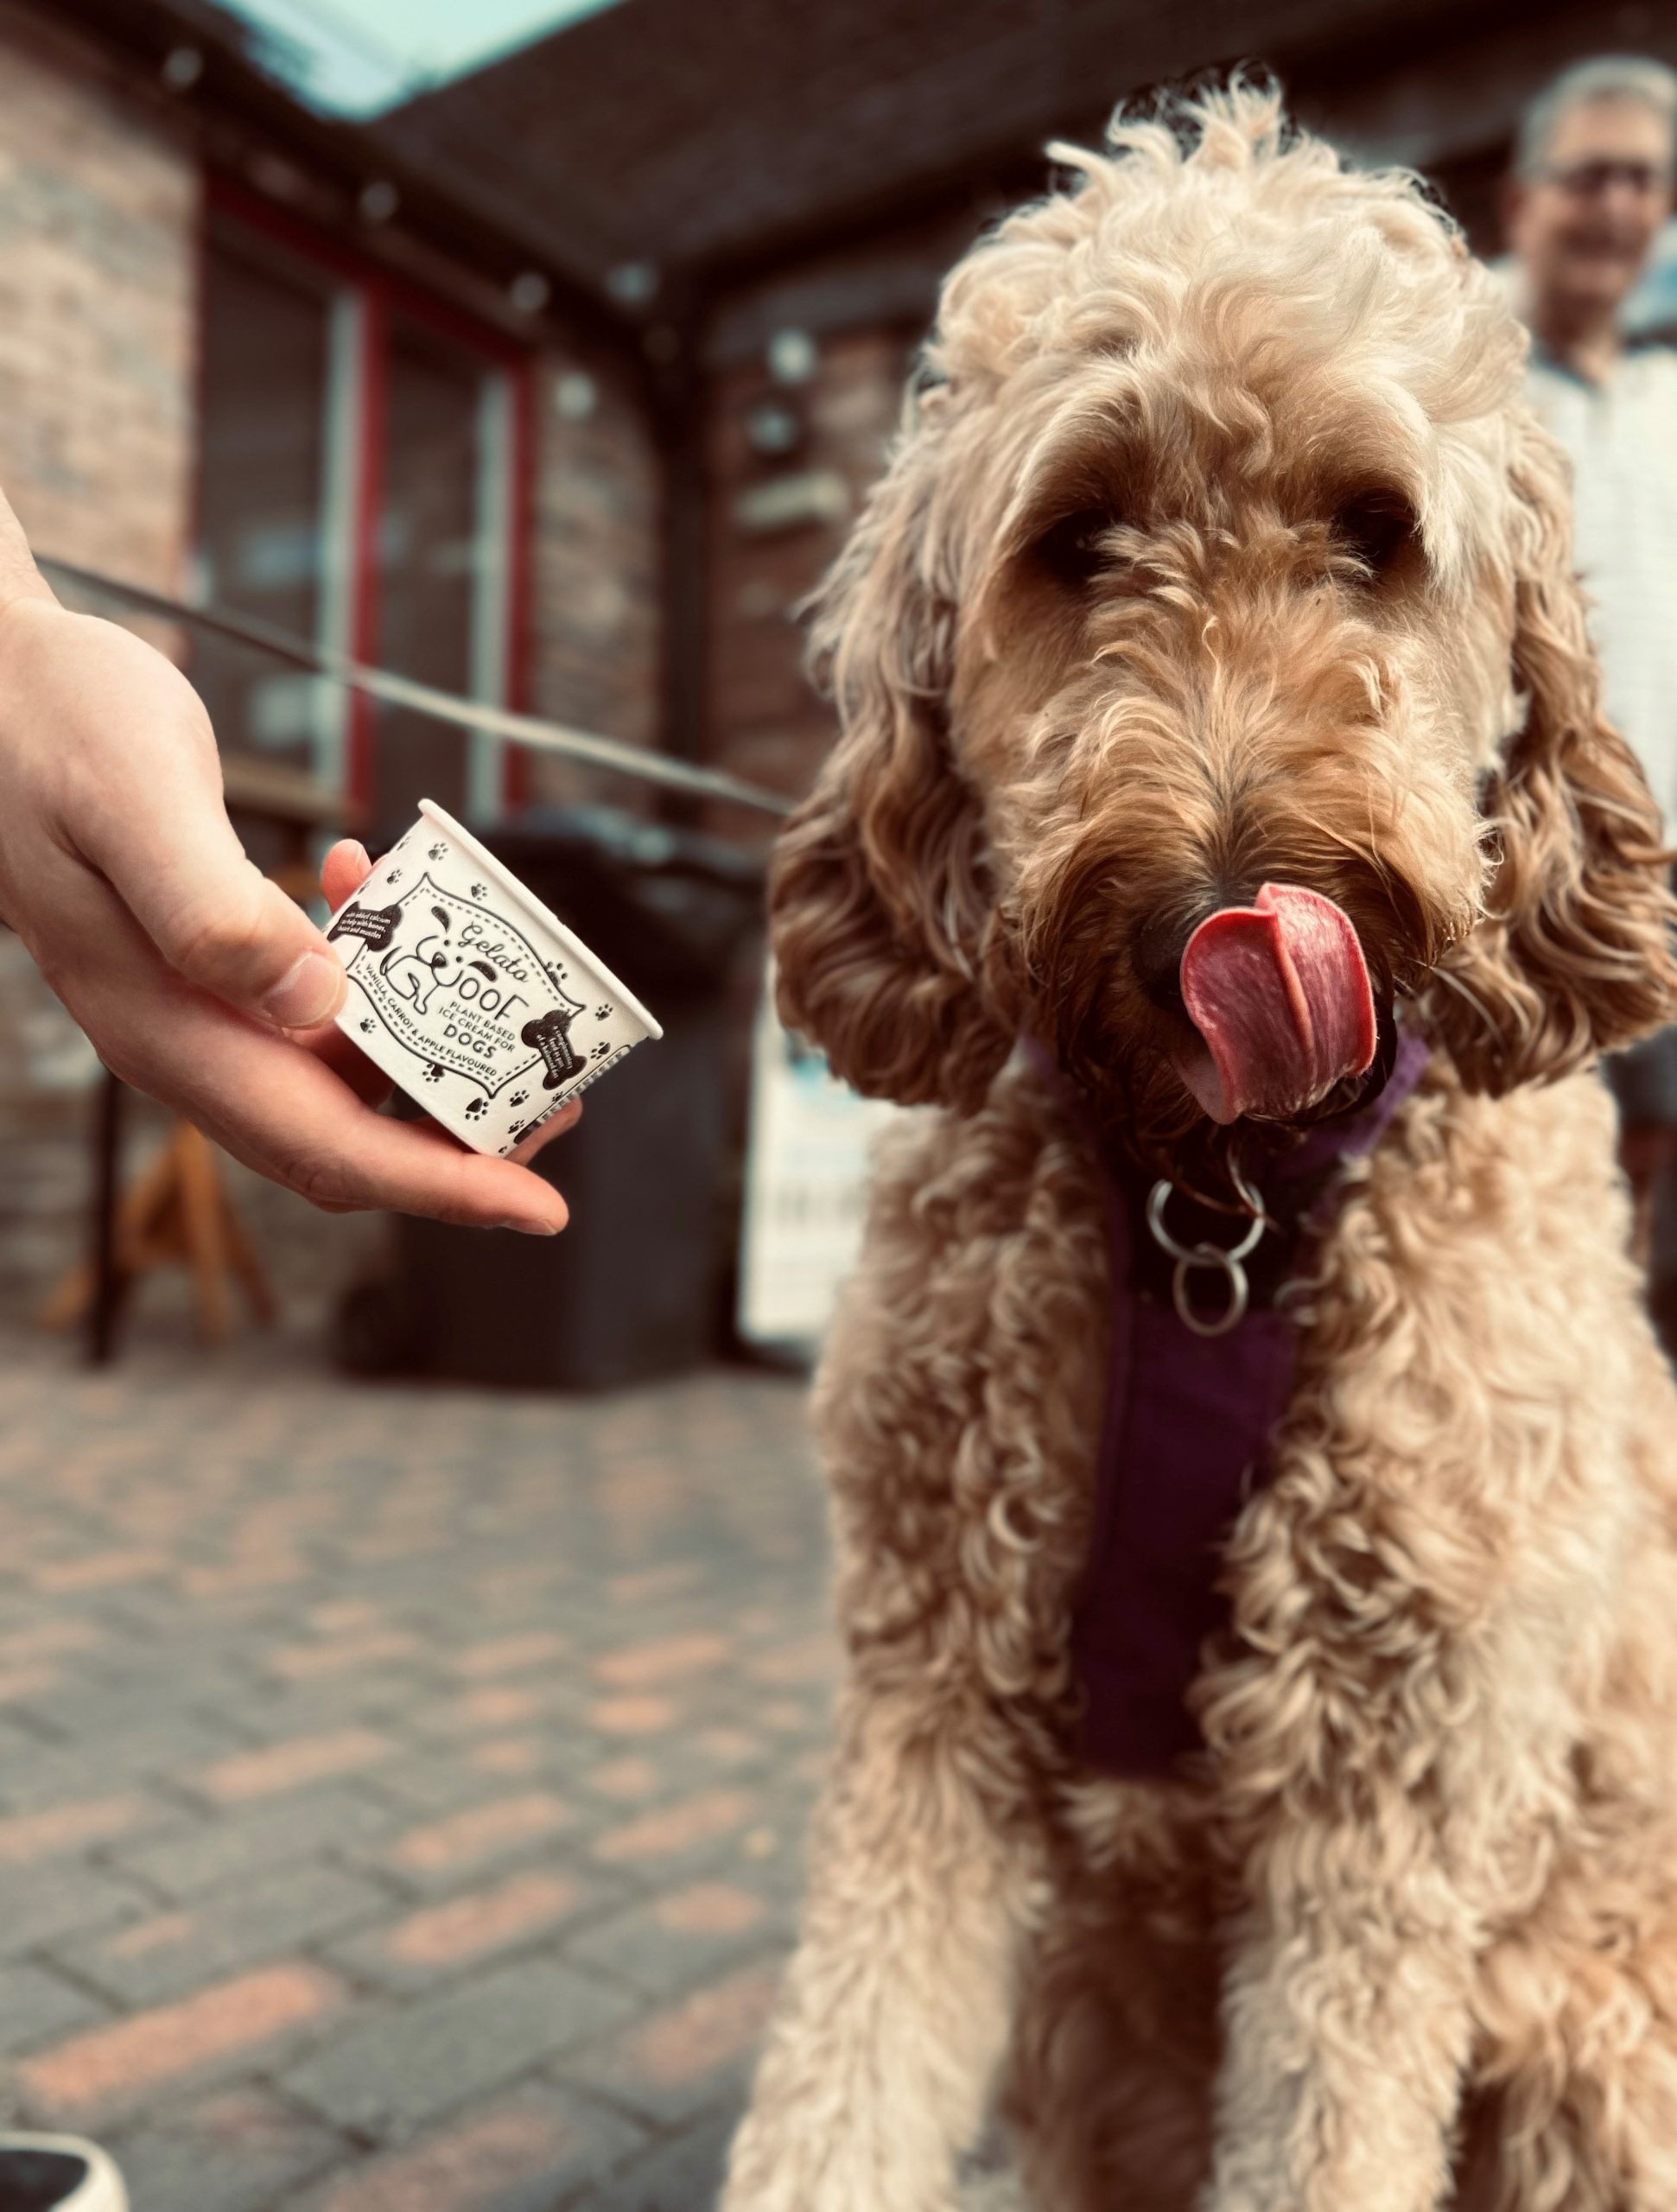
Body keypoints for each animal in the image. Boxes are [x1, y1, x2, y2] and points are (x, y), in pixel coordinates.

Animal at [730, 78, 1677, 2212]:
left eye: (1374, 532)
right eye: (1079, 539)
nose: (1227, 903)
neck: (1216, 1204)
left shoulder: (1386, 1801)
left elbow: (1329, 2126)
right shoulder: (935, 1694)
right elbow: (844, 2082)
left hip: (1594, 2048)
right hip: (1090, 2018)